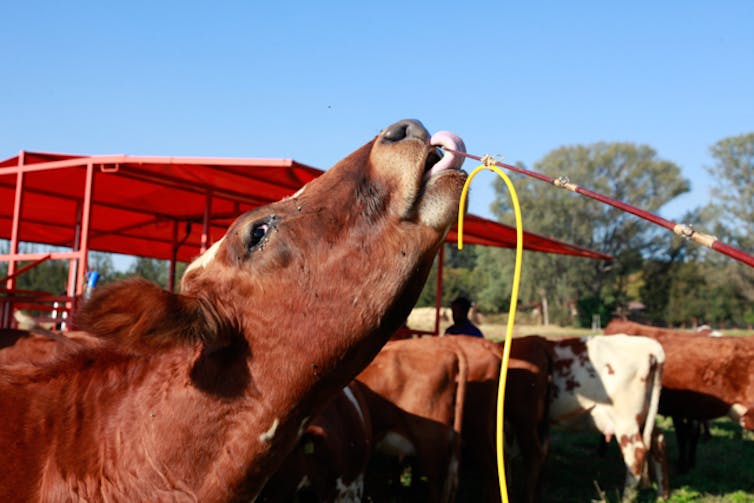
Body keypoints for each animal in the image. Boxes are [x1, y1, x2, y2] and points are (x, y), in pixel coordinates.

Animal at [548, 334, 664, 500]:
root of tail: (649, 345)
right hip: (644, 415)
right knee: (658, 440)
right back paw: (662, 495)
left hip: (626, 421)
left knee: (636, 455)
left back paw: (626, 499)